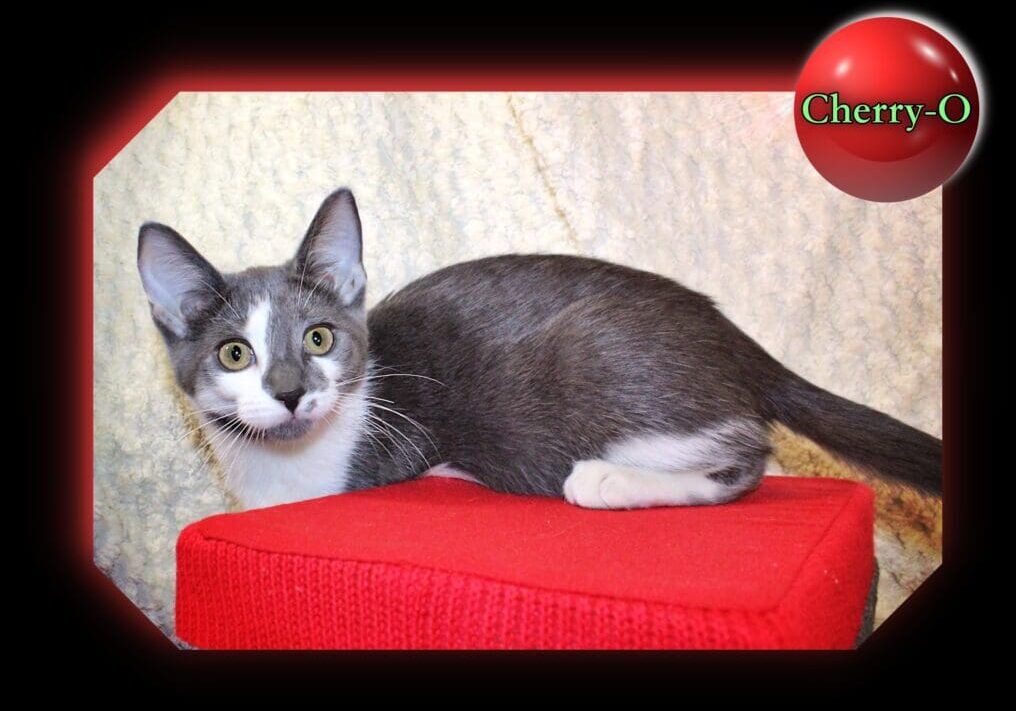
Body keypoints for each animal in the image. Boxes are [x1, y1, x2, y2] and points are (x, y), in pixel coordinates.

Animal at [139, 187, 938, 511]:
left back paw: (609, 482)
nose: (289, 391)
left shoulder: (390, 450)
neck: (277, 468)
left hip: (586, 372)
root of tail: (735, 338)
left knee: (745, 460)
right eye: (234, 354)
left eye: (318, 337)